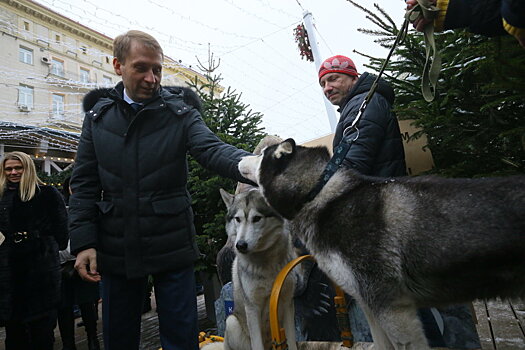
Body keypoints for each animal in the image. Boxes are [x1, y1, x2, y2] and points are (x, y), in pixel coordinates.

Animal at [218, 189, 298, 350]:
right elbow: (257, 344)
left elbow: (293, 342)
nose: (240, 245)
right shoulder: (252, 309)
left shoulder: (287, 303)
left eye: (256, 218)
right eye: (238, 219)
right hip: (231, 322)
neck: (265, 263)